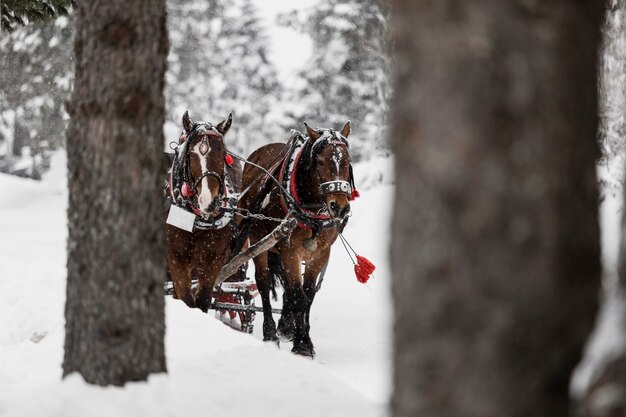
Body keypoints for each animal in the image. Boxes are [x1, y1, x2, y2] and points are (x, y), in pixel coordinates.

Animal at [163, 110, 241, 312]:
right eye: (191, 154)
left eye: (224, 153)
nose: (209, 201)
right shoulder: (176, 258)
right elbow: (187, 301)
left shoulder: (214, 260)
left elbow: (202, 301)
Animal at [238, 121, 354, 358]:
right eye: (320, 161)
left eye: (348, 160)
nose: (339, 207)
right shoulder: (290, 250)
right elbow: (298, 297)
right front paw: (301, 345)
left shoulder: (320, 253)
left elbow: (307, 295)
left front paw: (301, 335)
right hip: (258, 240)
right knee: (264, 282)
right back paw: (270, 332)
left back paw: (285, 325)